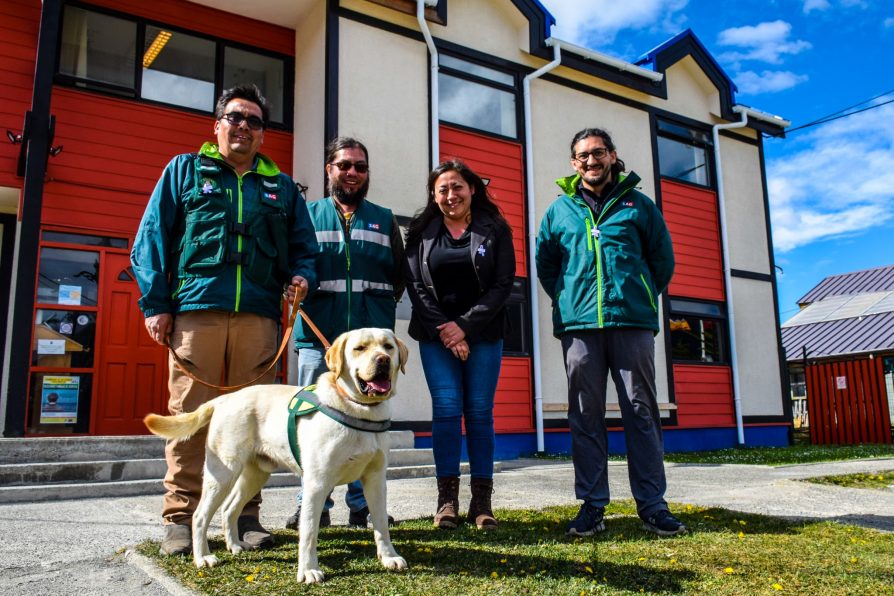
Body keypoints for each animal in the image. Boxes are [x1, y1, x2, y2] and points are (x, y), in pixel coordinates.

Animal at [144, 326, 410, 584]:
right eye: (360, 348)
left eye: (388, 346)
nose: (383, 360)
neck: (359, 410)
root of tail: (224, 398)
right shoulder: (317, 483)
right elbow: (309, 531)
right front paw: (309, 570)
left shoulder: (376, 479)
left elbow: (381, 523)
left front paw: (389, 557)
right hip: (222, 473)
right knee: (200, 515)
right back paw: (203, 557)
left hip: (254, 475)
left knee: (229, 509)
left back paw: (235, 546)